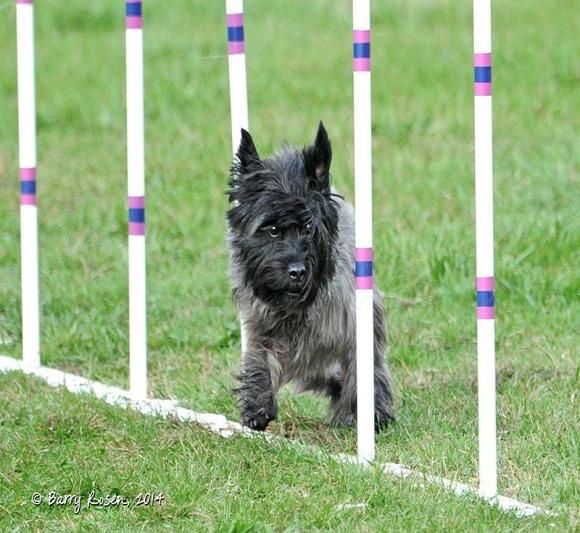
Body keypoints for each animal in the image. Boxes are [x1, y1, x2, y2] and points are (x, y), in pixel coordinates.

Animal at [227, 122, 394, 430]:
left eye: (308, 227)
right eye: (272, 230)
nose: (297, 272)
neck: (299, 307)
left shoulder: (354, 326)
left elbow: (362, 369)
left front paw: (371, 412)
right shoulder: (260, 324)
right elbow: (258, 358)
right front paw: (257, 404)